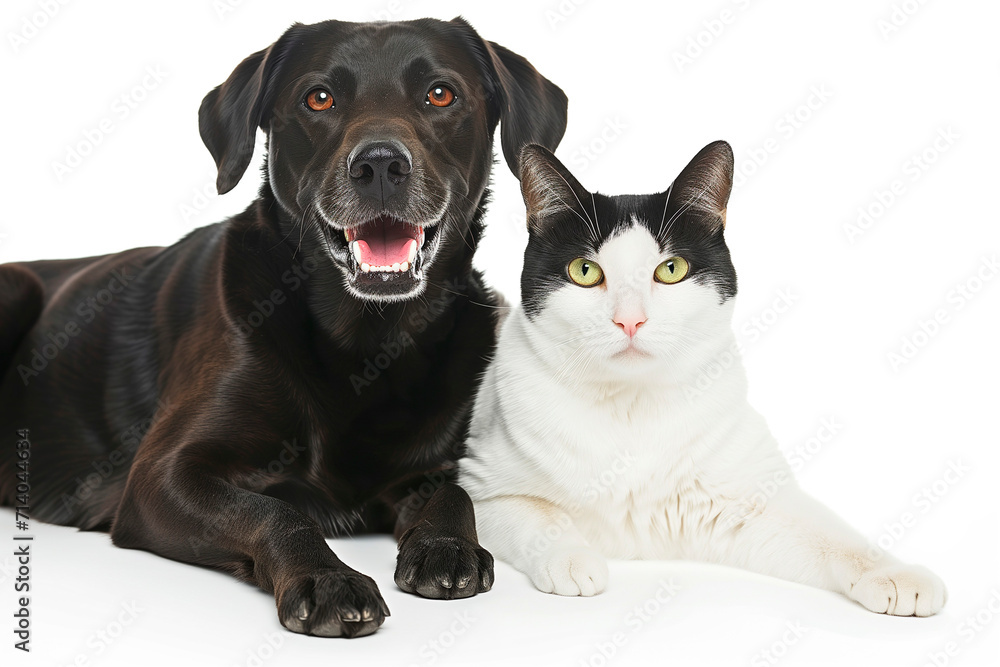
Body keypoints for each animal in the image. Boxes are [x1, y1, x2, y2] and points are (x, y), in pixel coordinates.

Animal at [0, 18, 568, 640]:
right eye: (318, 98)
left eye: (440, 94)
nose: (380, 167)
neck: (367, 342)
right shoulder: (163, 474)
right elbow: (273, 511)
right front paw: (326, 579)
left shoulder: (436, 462)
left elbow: (454, 491)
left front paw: (445, 547)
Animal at [458, 144, 944, 620]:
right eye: (584, 271)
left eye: (671, 269)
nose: (630, 320)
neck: (631, 404)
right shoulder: (482, 489)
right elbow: (540, 514)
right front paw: (572, 559)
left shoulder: (752, 505)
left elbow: (834, 537)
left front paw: (895, 574)